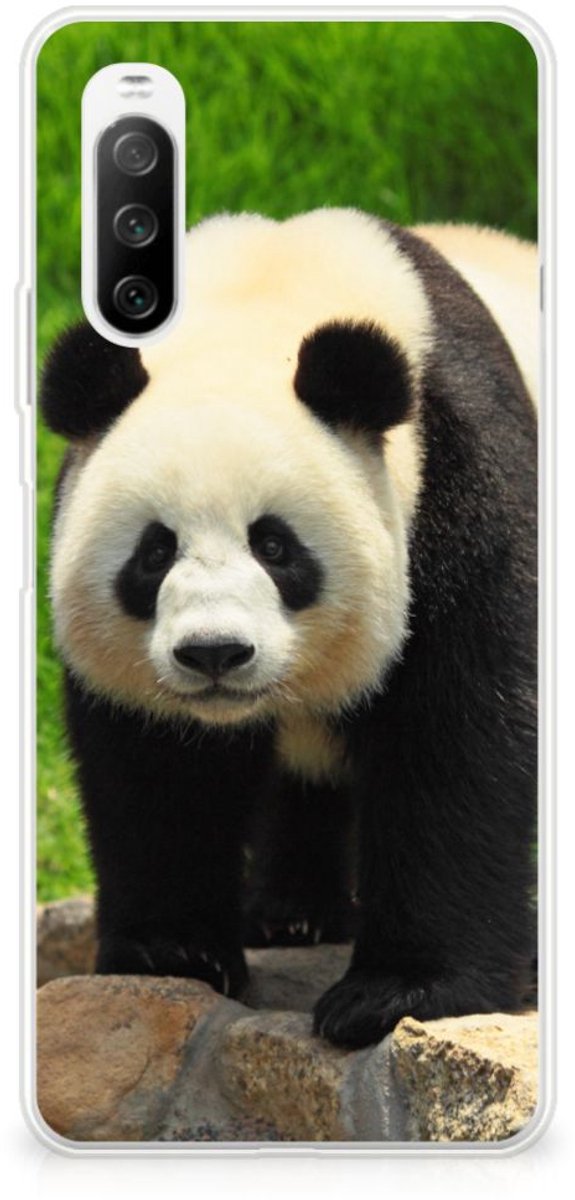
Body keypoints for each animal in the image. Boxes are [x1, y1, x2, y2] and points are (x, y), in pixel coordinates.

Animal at [41, 209, 538, 1049]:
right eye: (154, 552)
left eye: (274, 546)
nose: (214, 653)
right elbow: (155, 765)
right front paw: (173, 953)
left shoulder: (462, 480)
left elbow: (459, 735)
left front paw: (396, 992)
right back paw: (292, 914)